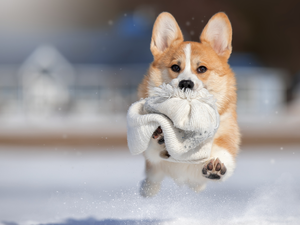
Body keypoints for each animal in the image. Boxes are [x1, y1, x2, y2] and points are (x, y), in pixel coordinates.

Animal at [137, 11, 240, 197]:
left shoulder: (226, 134)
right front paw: (161, 135)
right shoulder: (153, 154)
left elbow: (223, 151)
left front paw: (215, 166)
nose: (186, 83)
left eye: (202, 69)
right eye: (175, 67)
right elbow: (153, 149)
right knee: (152, 179)